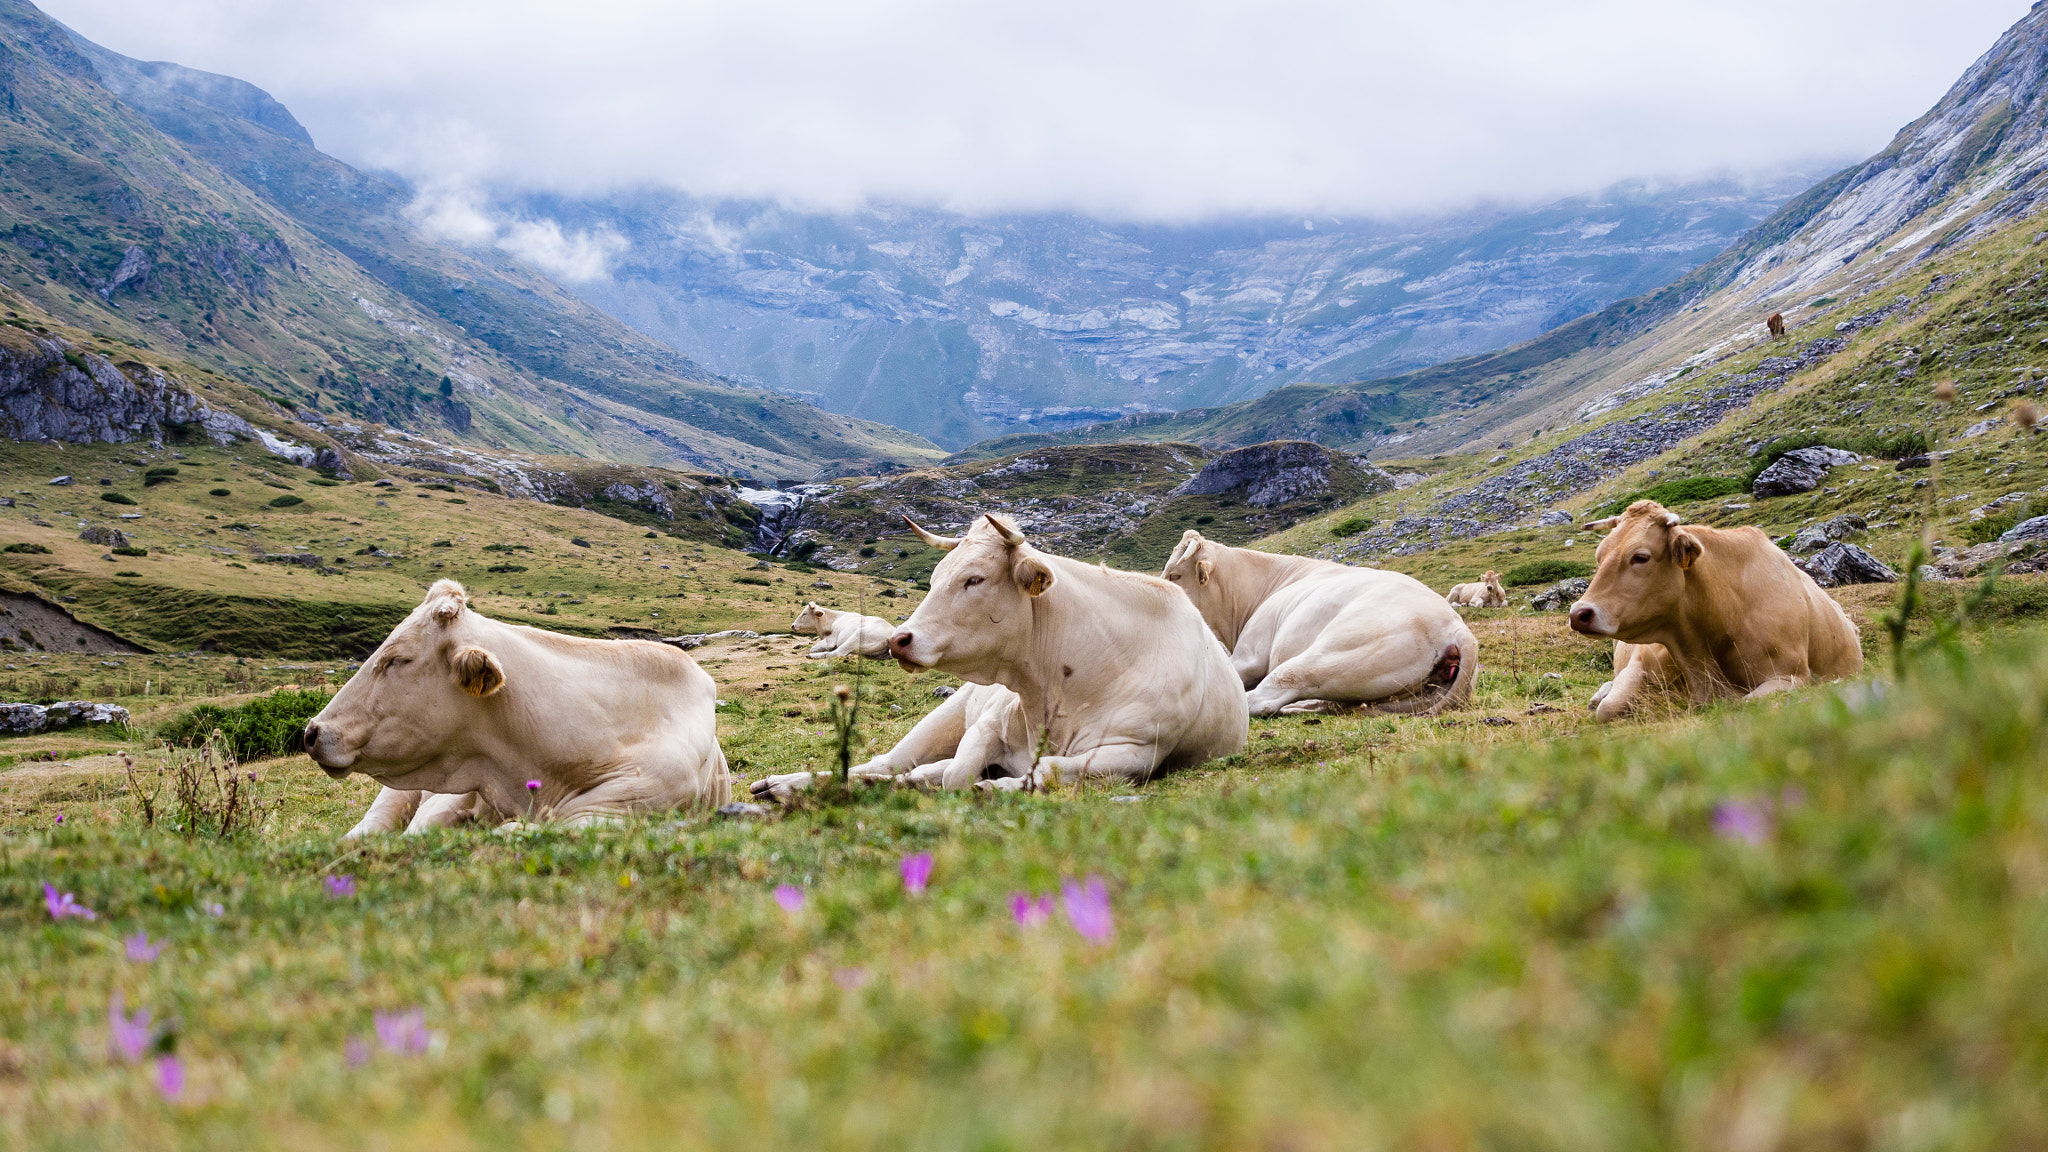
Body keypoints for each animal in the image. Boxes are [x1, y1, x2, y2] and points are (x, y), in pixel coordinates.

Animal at [1556, 496, 1867, 713]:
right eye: (1599, 556)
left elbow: (1746, 703)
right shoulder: (1641, 662)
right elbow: (1608, 708)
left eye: (1640, 557)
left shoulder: (1791, 675)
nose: (1579, 614)